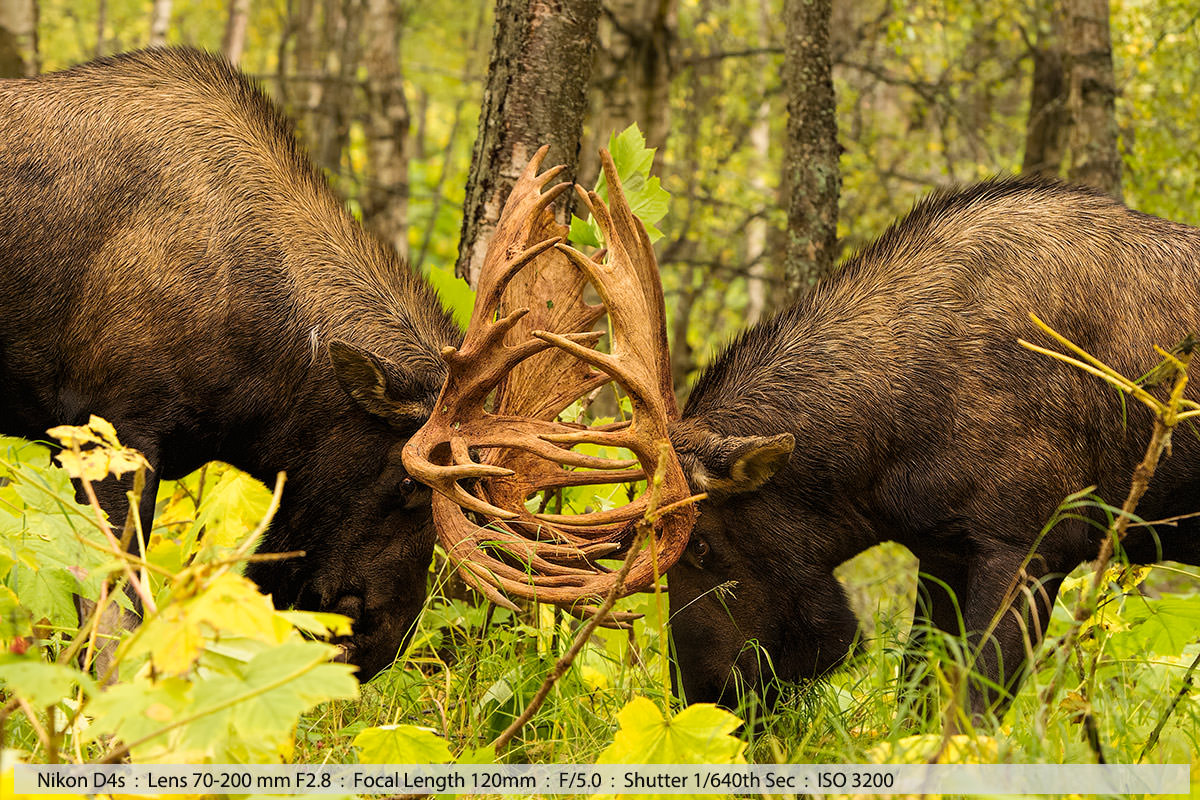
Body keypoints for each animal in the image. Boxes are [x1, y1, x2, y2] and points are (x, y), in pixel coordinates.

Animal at [667, 179, 1200, 719]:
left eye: (700, 545)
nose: (698, 694)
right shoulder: (943, 553)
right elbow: (916, 697)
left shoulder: (1030, 548)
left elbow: (973, 710)